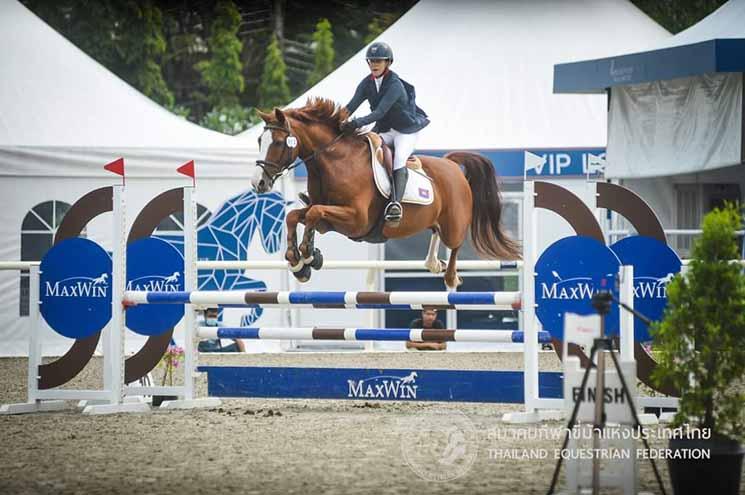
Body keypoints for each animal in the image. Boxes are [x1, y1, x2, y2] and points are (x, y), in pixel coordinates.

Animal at [253, 97, 520, 288]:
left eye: (278, 142)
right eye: (259, 141)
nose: (259, 183)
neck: (335, 162)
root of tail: (452, 165)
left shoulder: (356, 220)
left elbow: (313, 213)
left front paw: (308, 255)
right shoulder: (327, 218)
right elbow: (296, 216)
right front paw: (298, 261)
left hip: (454, 221)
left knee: (455, 242)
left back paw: (451, 276)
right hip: (435, 220)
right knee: (436, 233)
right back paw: (434, 263)